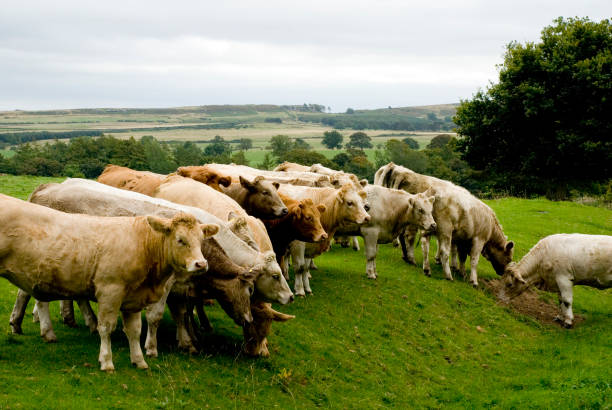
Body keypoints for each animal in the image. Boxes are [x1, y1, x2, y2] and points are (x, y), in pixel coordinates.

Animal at [0, 195, 218, 372]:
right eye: (180, 240)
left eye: (201, 240)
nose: (201, 264)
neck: (142, 245)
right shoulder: (110, 291)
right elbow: (105, 327)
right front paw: (106, 361)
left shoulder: (133, 300)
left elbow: (135, 330)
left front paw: (139, 360)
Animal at [376, 162, 512, 286]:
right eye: (509, 258)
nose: (502, 273)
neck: (490, 224)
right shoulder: (477, 239)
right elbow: (472, 259)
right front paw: (472, 279)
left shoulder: (461, 238)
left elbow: (460, 255)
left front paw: (460, 270)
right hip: (440, 227)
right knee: (429, 245)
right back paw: (441, 272)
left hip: (427, 226)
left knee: (423, 244)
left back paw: (422, 266)